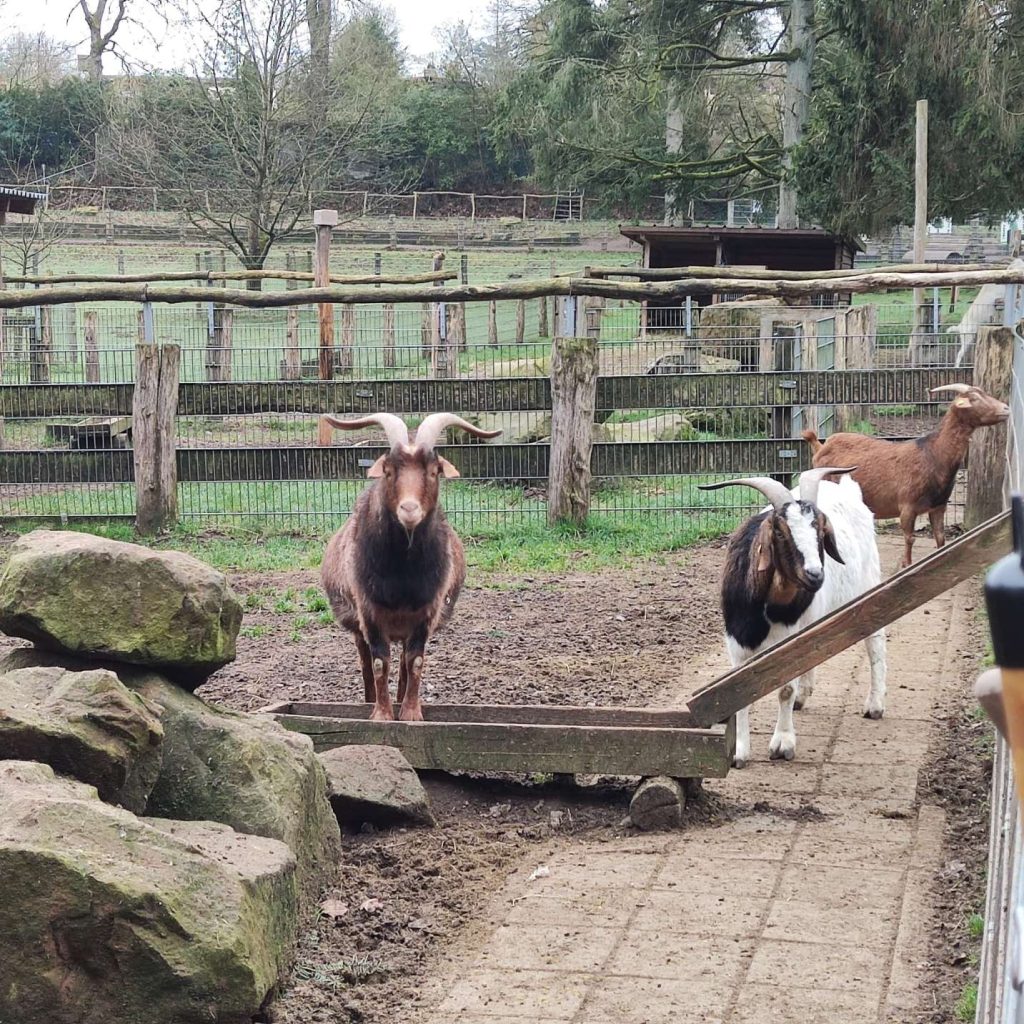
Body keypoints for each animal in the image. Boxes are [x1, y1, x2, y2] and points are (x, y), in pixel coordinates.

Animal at [321, 412, 501, 722]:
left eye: (434, 471)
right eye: (389, 471)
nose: (409, 510)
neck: (402, 579)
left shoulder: (426, 613)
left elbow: (415, 662)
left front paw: (411, 713)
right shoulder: (369, 612)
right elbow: (379, 663)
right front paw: (381, 714)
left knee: (404, 663)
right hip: (357, 623)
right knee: (365, 661)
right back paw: (370, 701)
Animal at [700, 469, 887, 767]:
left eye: (821, 529)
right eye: (779, 530)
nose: (815, 574)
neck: (768, 609)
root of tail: (850, 491)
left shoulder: (787, 638)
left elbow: (784, 688)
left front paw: (783, 743)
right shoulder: (736, 642)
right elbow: (739, 694)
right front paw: (739, 751)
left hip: (868, 584)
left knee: (876, 641)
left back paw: (875, 704)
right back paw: (804, 695)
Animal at [802, 383, 1009, 568]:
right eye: (974, 398)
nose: (1006, 409)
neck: (932, 455)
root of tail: (820, 447)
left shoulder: (938, 506)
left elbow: (940, 538)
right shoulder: (907, 506)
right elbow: (910, 539)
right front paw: (906, 564)